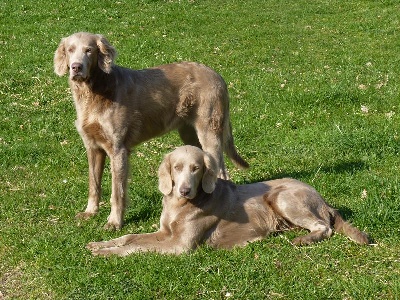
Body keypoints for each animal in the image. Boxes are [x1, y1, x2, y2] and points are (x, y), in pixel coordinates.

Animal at [53, 32, 247, 230]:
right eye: (70, 50)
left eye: (89, 50)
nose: (76, 67)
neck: (95, 91)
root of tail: (218, 76)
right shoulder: (93, 147)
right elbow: (94, 183)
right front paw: (90, 212)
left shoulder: (118, 149)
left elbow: (117, 191)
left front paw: (114, 222)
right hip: (190, 134)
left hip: (209, 131)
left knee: (221, 171)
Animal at [86, 145, 368, 255]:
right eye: (177, 167)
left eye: (196, 168)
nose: (184, 190)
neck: (180, 206)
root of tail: (322, 198)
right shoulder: (164, 232)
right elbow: (130, 237)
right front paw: (100, 244)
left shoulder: (179, 245)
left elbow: (136, 247)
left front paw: (107, 253)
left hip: (283, 197)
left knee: (325, 227)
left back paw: (304, 239)